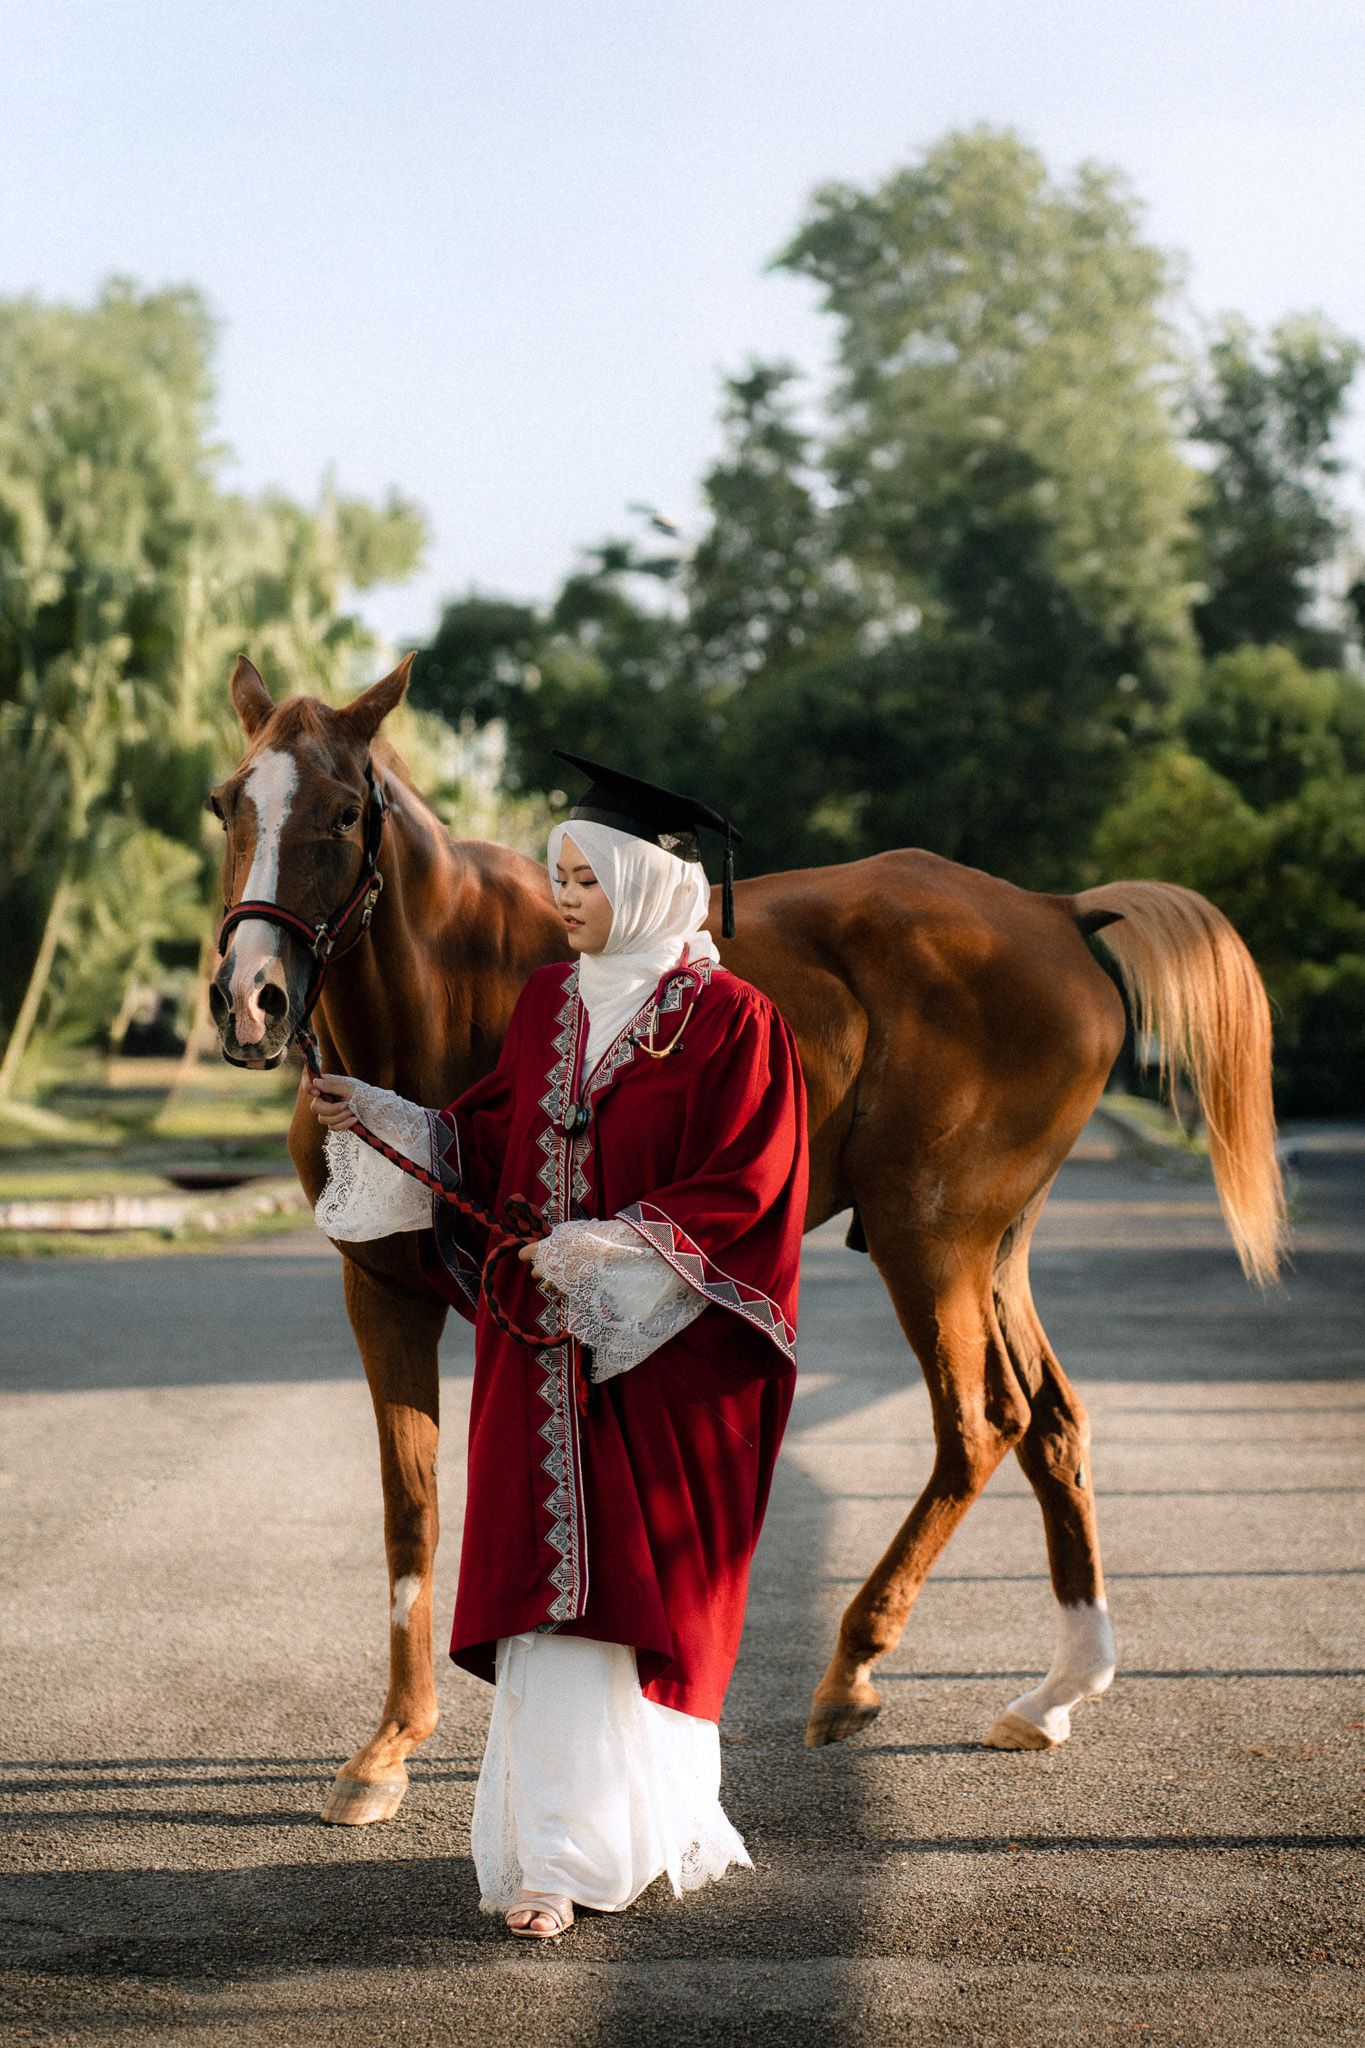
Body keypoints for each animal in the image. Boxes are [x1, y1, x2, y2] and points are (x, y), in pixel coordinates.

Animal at [209, 653, 1286, 1823]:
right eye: (227, 805)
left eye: (341, 811)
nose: (250, 999)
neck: (444, 992)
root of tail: (1053, 908)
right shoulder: (381, 1287)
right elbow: (410, 1510)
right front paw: (389, 1744)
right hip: (998, 1248)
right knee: (1052, 1420)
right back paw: (1058, 1688)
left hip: (928, 1236)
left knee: (980, 1422)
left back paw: (854, 1662)